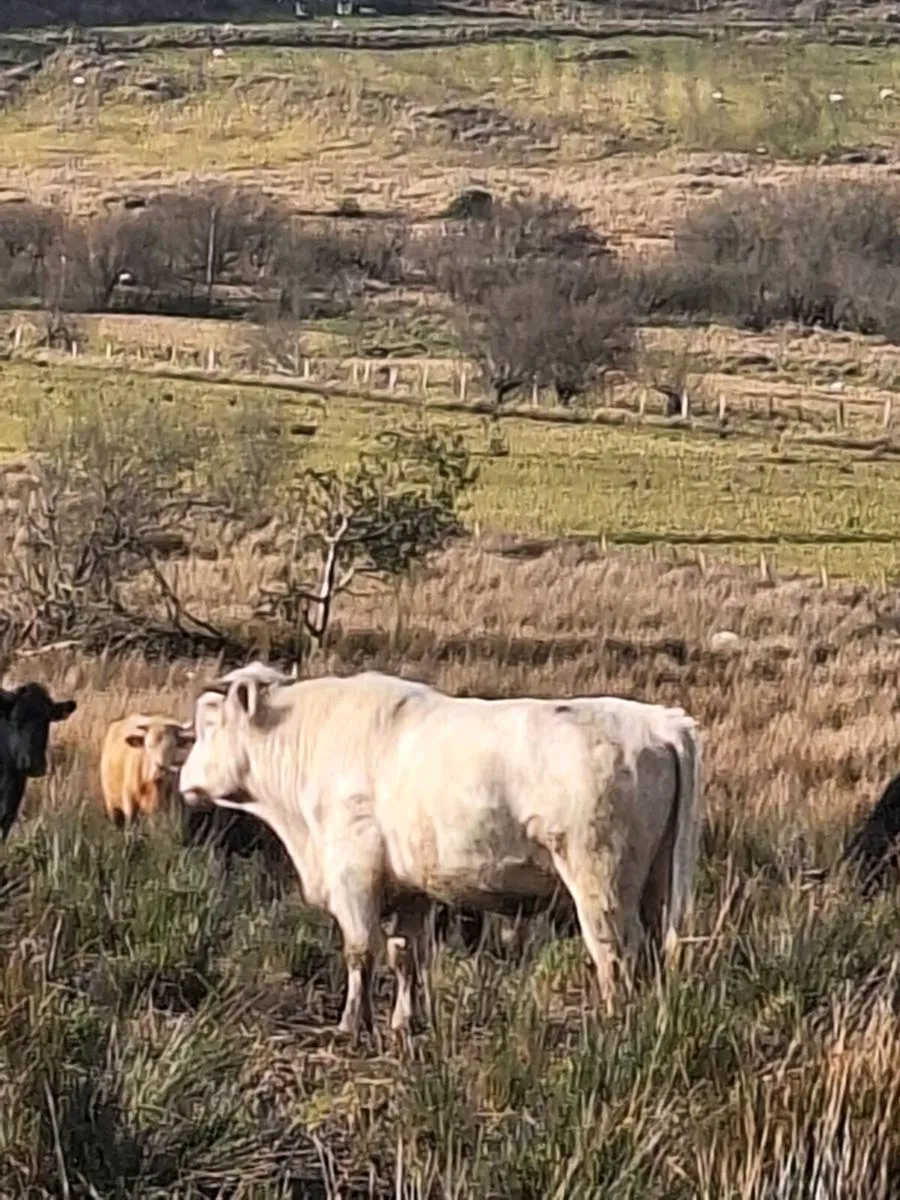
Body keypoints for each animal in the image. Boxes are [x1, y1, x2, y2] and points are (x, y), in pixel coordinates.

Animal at [178, 669, 703, 1041]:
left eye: (209, 723)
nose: (184, 781)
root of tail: (658, 721)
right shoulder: (412, 887)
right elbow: (406, 954)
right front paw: (403, 1021)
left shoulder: (353, 874)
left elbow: (360, 950)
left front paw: (352, 1025)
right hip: (655, 885)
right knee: (651, 955)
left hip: (600, 882)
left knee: (616, 957)